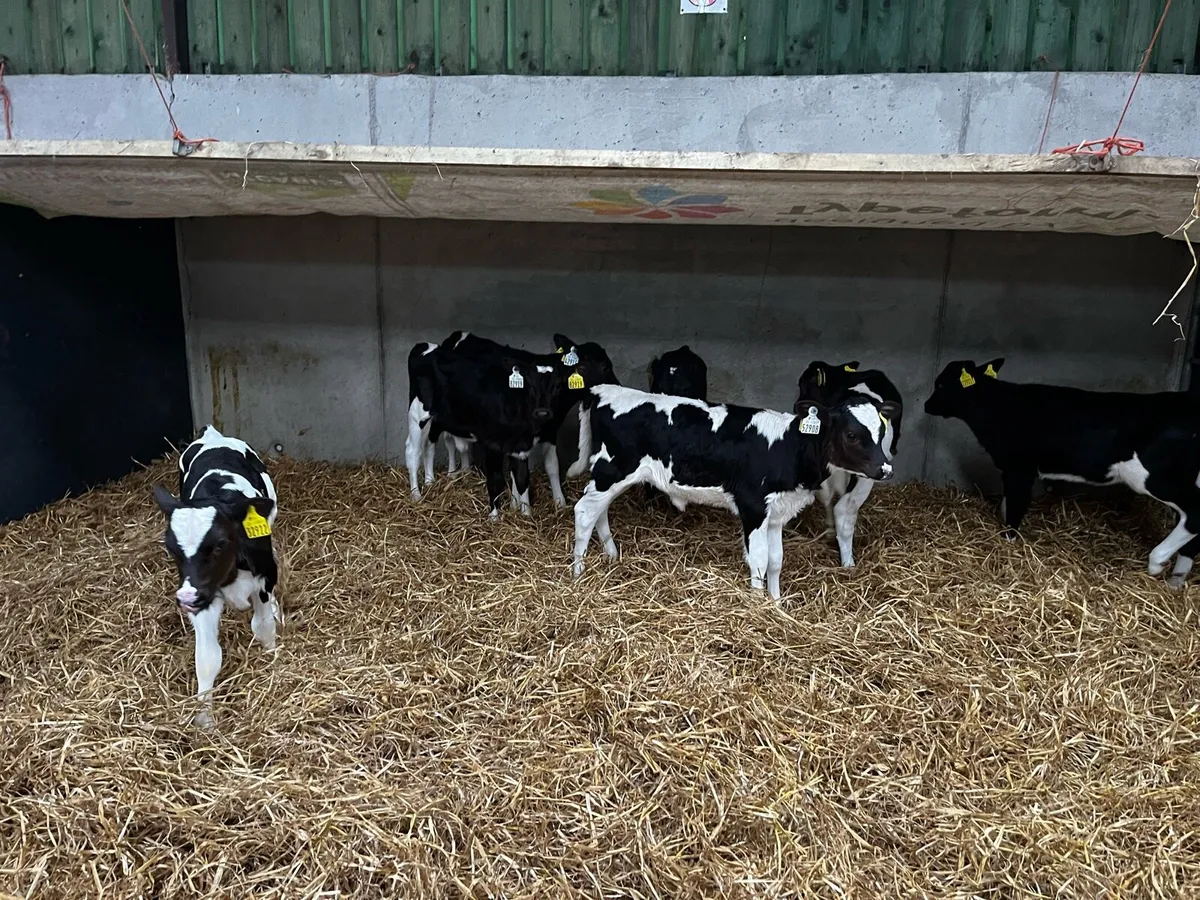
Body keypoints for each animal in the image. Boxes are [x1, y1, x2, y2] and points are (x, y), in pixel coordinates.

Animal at [151, 425, 280, 727]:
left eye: (219, 544)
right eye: (172, 548)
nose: (186, 598)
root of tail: (212, 434)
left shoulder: (266, 576)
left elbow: (264, 627)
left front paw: (273, 665)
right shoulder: (203, 596)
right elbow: (207, 658)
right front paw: (204, 718)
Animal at [406, 332, 615, 517]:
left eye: (558, 385)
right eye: (605, 367)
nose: (616, 386)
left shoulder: (546, 434)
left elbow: (548, 468)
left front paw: (556, 502)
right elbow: (507, 477)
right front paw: (512, 509)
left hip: (445, 417)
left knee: (441, 443)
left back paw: (446, 477)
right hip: (419, 413)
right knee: (416, 449)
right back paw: (419, 492)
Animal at [569, 384, 899, 599]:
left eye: (882, 432)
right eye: (852, 434)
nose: (885, 469)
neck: (787, 446)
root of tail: (602, 389)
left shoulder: (776, 513)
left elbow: (776, 562)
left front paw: (776, 604)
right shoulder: (753, 506)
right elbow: (760, 561)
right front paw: (756, 604)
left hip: (611, 473)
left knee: (599, 510)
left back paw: (611, 556)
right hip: (613, 469)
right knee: (584, 511)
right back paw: (578, 571)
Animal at [794, 360, 904, 567]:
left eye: (882, 431)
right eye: (851, 435)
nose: (886, 471)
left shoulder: (866, 477)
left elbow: (844, 512)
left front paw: (848, 562)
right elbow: (828, 500)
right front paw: (832, 533)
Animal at [924, 358, 1200, 588]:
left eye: (941, 384)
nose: (926, 405)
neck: (999, 407)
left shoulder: (1019, 468)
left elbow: (1014, 508)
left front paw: (1008, 544)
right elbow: (1005, 504)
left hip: (1156, 477)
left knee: (1194, 512)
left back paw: (1157, 562)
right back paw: (1175, 581)